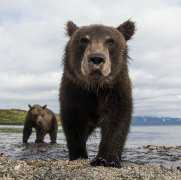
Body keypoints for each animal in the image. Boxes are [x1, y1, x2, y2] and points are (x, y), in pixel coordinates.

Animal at [59, 20, 136, 167]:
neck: (95, 87)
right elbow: (74, 122)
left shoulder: (115, 90)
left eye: (110, 41)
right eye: (84, 40)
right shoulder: (75, 91)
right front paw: (78, 155)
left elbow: (117, 120)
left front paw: (106, 159)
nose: (96, 59)